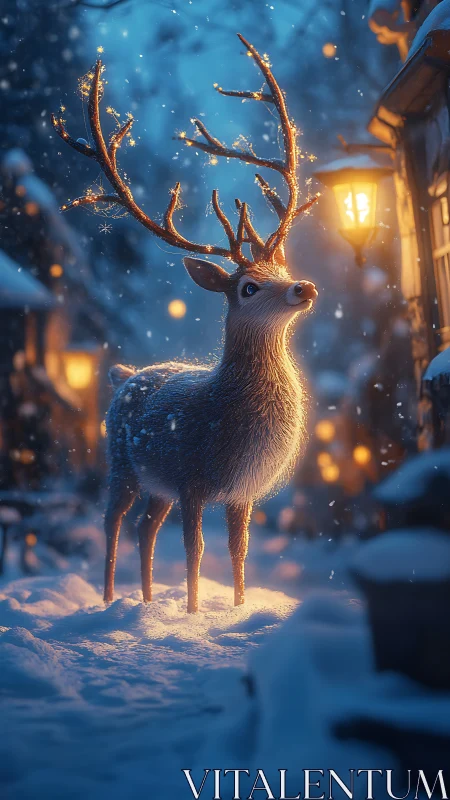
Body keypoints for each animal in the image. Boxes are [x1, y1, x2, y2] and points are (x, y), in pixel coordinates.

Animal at [51, 33, 319, 613]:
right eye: (247, 287)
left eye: (283, 267)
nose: (304, 288)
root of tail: (125, 373)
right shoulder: (193, 478)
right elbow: (196, 553)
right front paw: (195, 614)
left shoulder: (241, 492)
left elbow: (239, 552)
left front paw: (237, 609)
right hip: (123, 463)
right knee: (113, 524)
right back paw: (110, 600)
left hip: (156, 485)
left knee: (145, 529)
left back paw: (150, 602)